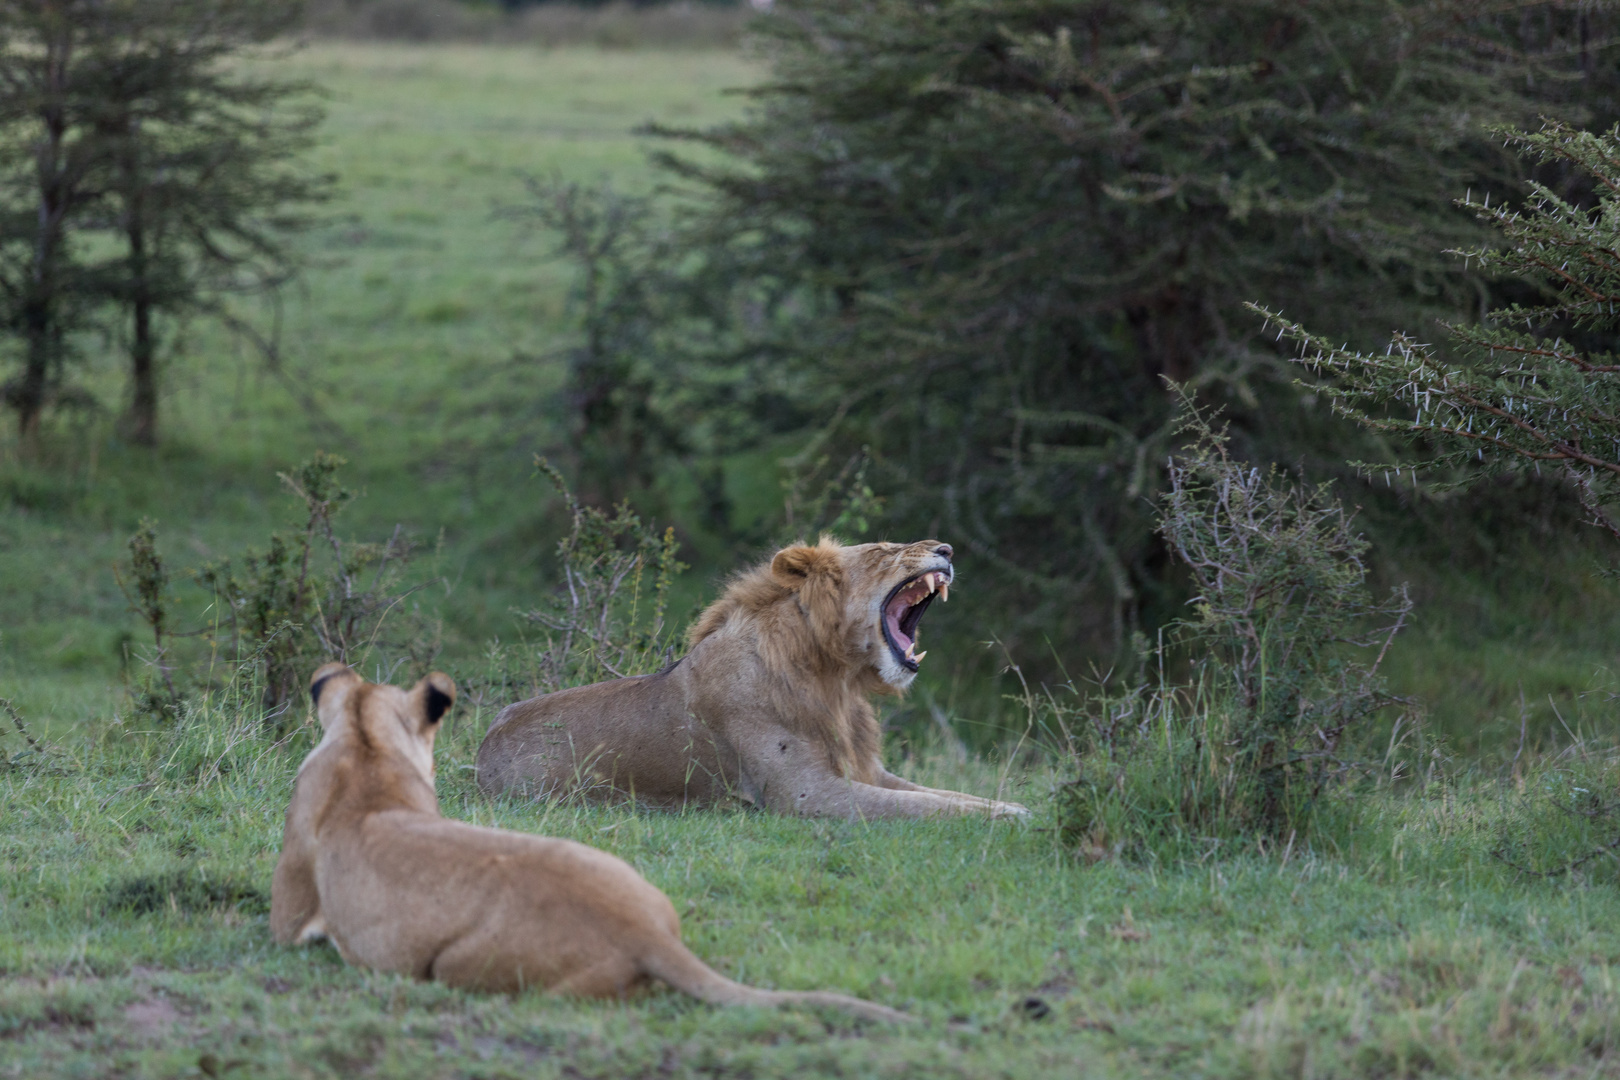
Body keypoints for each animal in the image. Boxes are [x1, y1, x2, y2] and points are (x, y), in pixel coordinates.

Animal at [473, 540, 1023, 819]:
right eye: (886, 550)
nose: (947, 548)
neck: (836, 680)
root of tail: (480, 752)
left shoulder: (864, 769)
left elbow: (943, 795)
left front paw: (1012, 804)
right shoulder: (804, 794)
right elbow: (923, 808)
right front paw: (1013, 818)